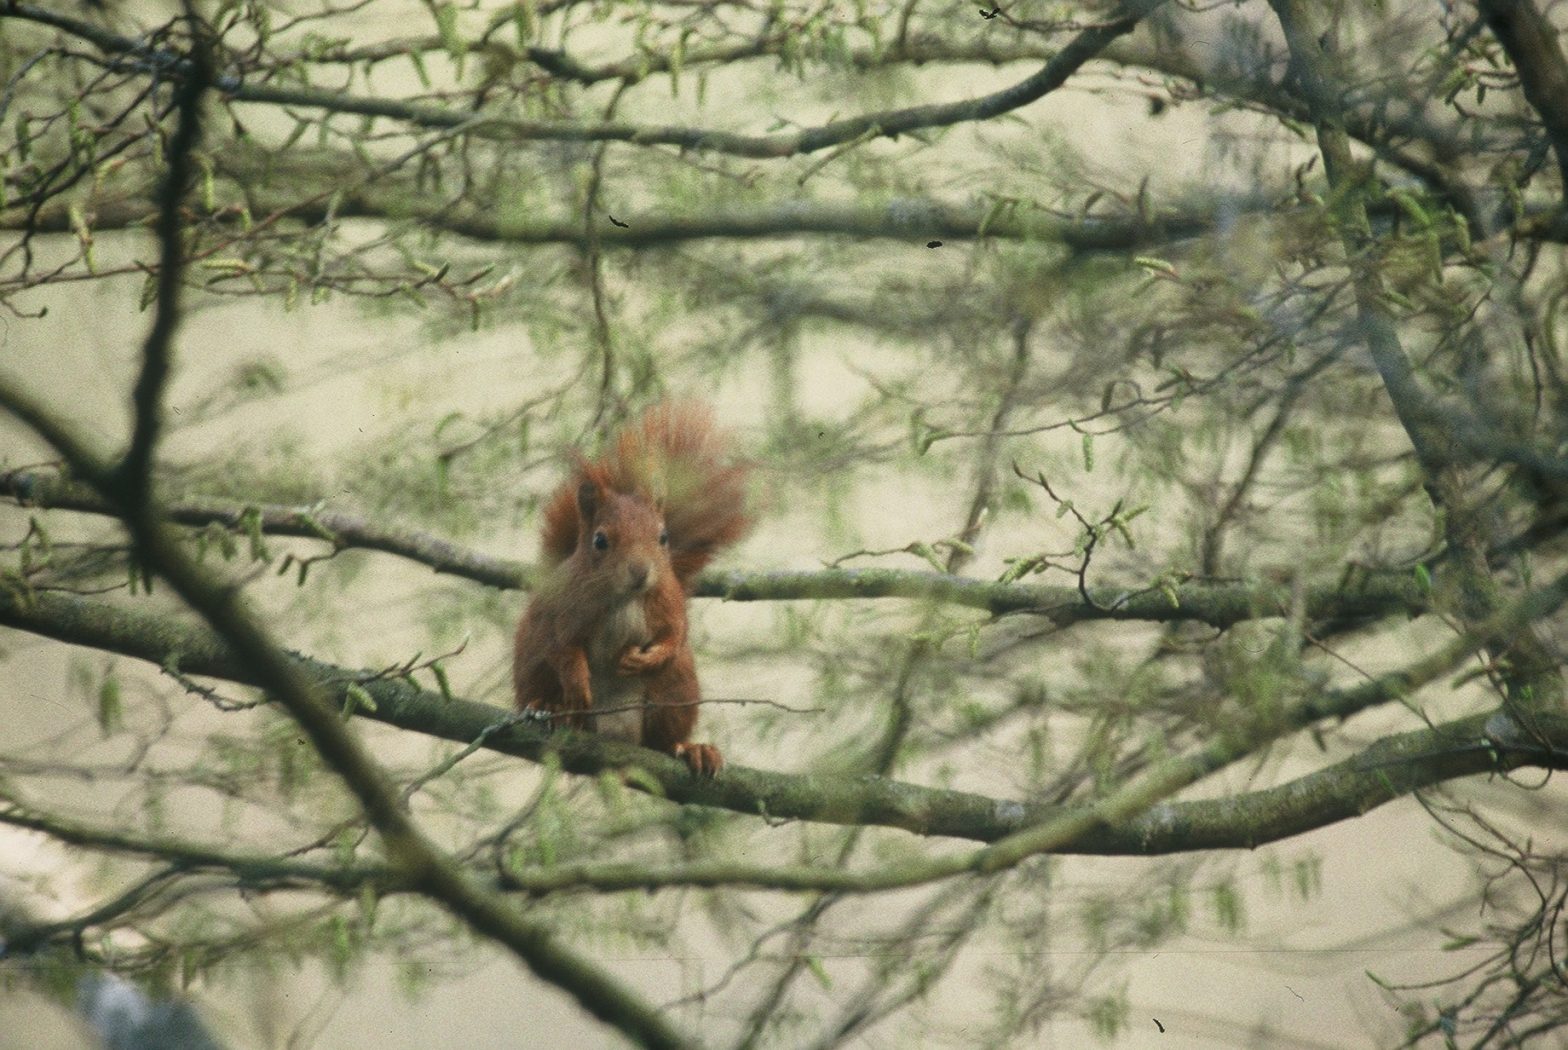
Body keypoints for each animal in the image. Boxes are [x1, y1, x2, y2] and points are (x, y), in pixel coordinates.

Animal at [512, 403, 751, 775]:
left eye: (663, 537)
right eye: (600, 541)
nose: (640, 572)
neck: (625, 598)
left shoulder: (670, 603)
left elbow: (674, 637)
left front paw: (643, 658)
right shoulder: (562, 610)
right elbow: (562, 647)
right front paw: (578, 684)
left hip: (674, 692)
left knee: (663, 739)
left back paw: (691, 749)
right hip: (531, 665)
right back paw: (552, 709)